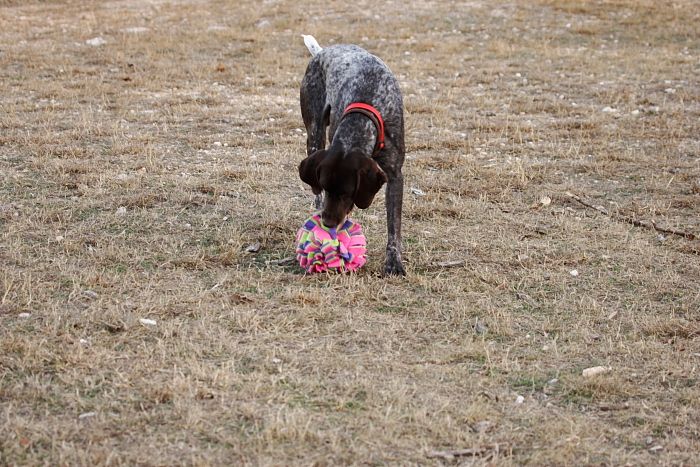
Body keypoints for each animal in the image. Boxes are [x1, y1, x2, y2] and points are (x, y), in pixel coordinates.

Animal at [298, 36, 408, 278]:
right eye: (326, 186)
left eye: (348, 192)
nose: (327, 224)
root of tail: (322, 52)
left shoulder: (395, 174)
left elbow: (393, 227)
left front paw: (394, 262)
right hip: (315, 133)